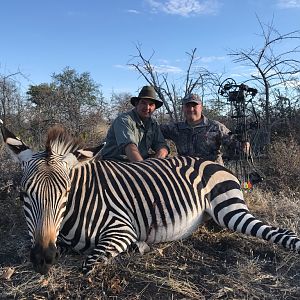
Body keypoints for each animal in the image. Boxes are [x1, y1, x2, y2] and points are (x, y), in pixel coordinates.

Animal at [0, 122, 300, 274]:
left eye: (64, 194)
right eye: (24, 195)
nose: (43, 259)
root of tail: (214, 163)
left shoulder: (121, 229)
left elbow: (88, 264)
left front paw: (139, 248)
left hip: (230, 210)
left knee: (280, 232)